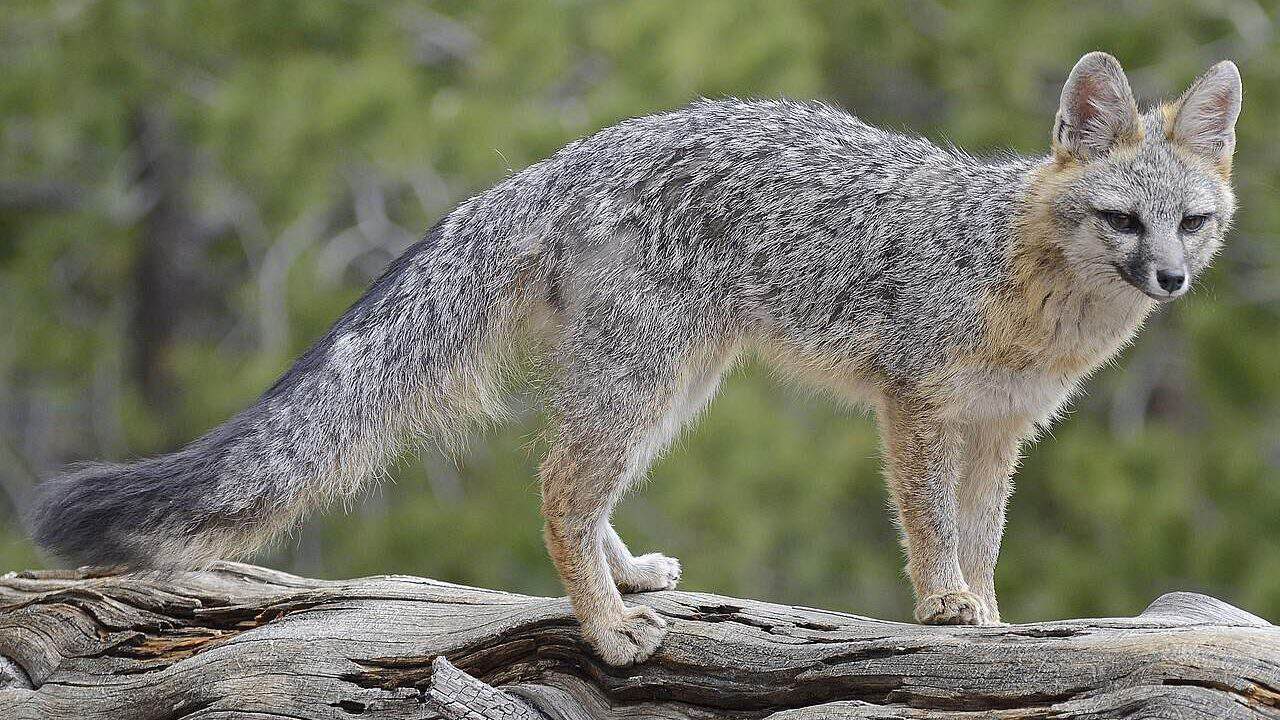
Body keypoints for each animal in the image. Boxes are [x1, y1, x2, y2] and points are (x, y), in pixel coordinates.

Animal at [28, 52, 1241, 666]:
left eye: (1193, 224)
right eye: (1122, 220)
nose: (1170, 282)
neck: (1017, 272)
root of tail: (559, 160)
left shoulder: (999, 429)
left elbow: (984, 539)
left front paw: (989, 616)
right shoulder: (916, 404)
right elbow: (932, 527)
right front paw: (944, 609)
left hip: (675, 386)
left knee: (581, 486)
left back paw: (624, 583)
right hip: (650, 381)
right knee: (559, 487)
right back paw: (606, 628)